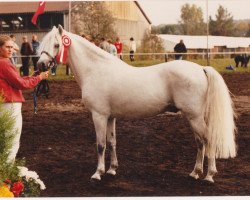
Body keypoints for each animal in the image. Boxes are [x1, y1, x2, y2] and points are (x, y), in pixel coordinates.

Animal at [37, 25, 236, 184]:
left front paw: (98, 173)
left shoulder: (99, 115)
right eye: (43, 44)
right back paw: (195, 172)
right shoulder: (110, 117)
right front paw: (112, 169)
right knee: (200, 142)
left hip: (194, 117)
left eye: (56, 45)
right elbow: (112, 142)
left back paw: (209, 175)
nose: (40, 66)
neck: (96, 70)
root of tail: (201, 69)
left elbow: (100, 145)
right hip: (194, 117)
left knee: (207, 140)